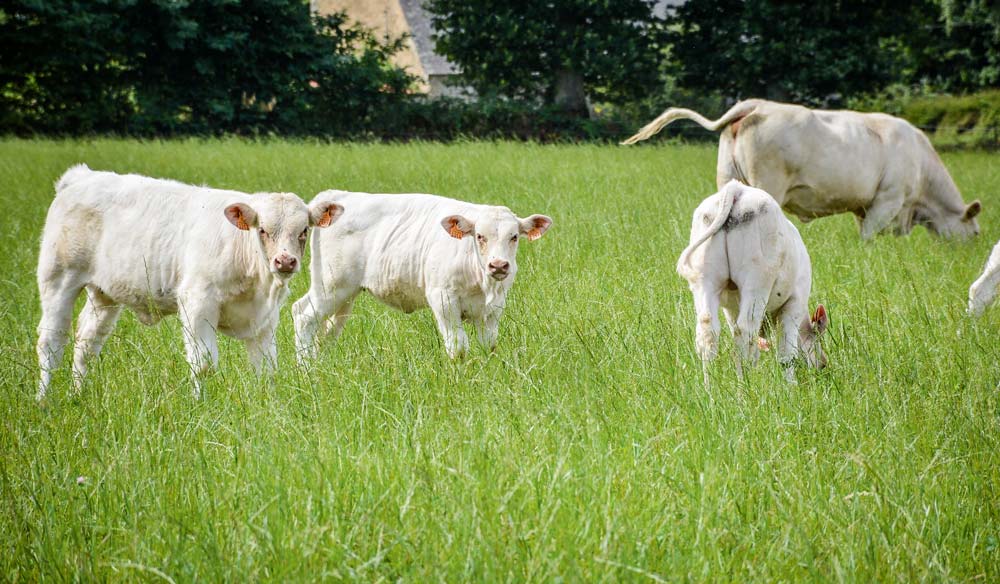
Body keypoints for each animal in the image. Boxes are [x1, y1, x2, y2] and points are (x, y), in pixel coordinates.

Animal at [36, 167, 344, 400]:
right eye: (263, 230)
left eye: (303, 231)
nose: (285, 261)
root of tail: (81, 177)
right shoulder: (197, 302)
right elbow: (204, 363)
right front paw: (200, 405)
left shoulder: (265, 317)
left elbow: (266, 366)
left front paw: (267, 406)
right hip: (58, 279)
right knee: (51, 341)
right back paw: (43, 400)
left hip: (104, 294)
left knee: (87, 342)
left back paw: (77, 394)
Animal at [292, 189, 552, 358]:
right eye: (480, 236)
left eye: (514, 237)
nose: (498, 265)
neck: (482, 283)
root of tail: (336, 195)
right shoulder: (443, 299)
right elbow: (458, 347)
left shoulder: (494, 307)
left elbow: (488, 345)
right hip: (330, 285)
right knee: (304, 315)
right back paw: (306, 369)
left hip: (345, 294)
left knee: (326, 330)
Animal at [620, 100, 980, 240]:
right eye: (976, 233)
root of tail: (756, 104)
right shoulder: (887, 201)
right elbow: (868, 238)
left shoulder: (871, 208)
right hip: (767, 186)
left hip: (727, 180)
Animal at [680, 180, 828, 386]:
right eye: (817, 337)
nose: (823, 364)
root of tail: (736, 189)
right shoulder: (795, 302)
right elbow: (787, 353)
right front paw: (791, 386)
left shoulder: (731, 310)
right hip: (757, 278)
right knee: (745, 330)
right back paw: (746, 386)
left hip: (705, 279)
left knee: (708, 330)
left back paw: (710, 388)